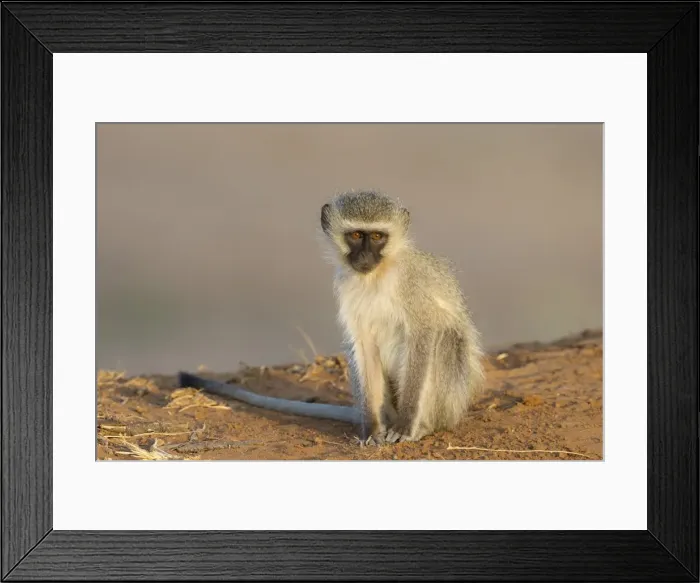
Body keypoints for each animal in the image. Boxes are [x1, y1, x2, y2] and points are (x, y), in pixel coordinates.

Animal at [178, 189, 485, 445]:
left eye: (377, 237)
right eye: (356, 236)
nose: (364, 257)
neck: (377, 275)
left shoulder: (412, 284)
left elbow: (424, 333)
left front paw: (406, 425)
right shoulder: (346, 286)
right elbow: (363, 344)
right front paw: (372, 429)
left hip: (450, 404)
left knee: (446, 338)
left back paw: (422, 426)